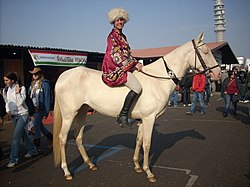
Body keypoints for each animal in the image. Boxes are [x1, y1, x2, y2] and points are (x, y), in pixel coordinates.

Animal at [52, 32, 221, 183]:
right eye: (206, 51)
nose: (218, 73)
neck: (158, 79)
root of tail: (63, 76)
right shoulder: (149, 119)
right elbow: (147, 144)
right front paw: (148, 172)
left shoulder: (142, 120)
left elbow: (139, 140)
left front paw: (137, 166)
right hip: (69, 115)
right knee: (63, 138)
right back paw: (67, 172)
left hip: (82, 112)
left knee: (78, 137)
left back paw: (90, 164)